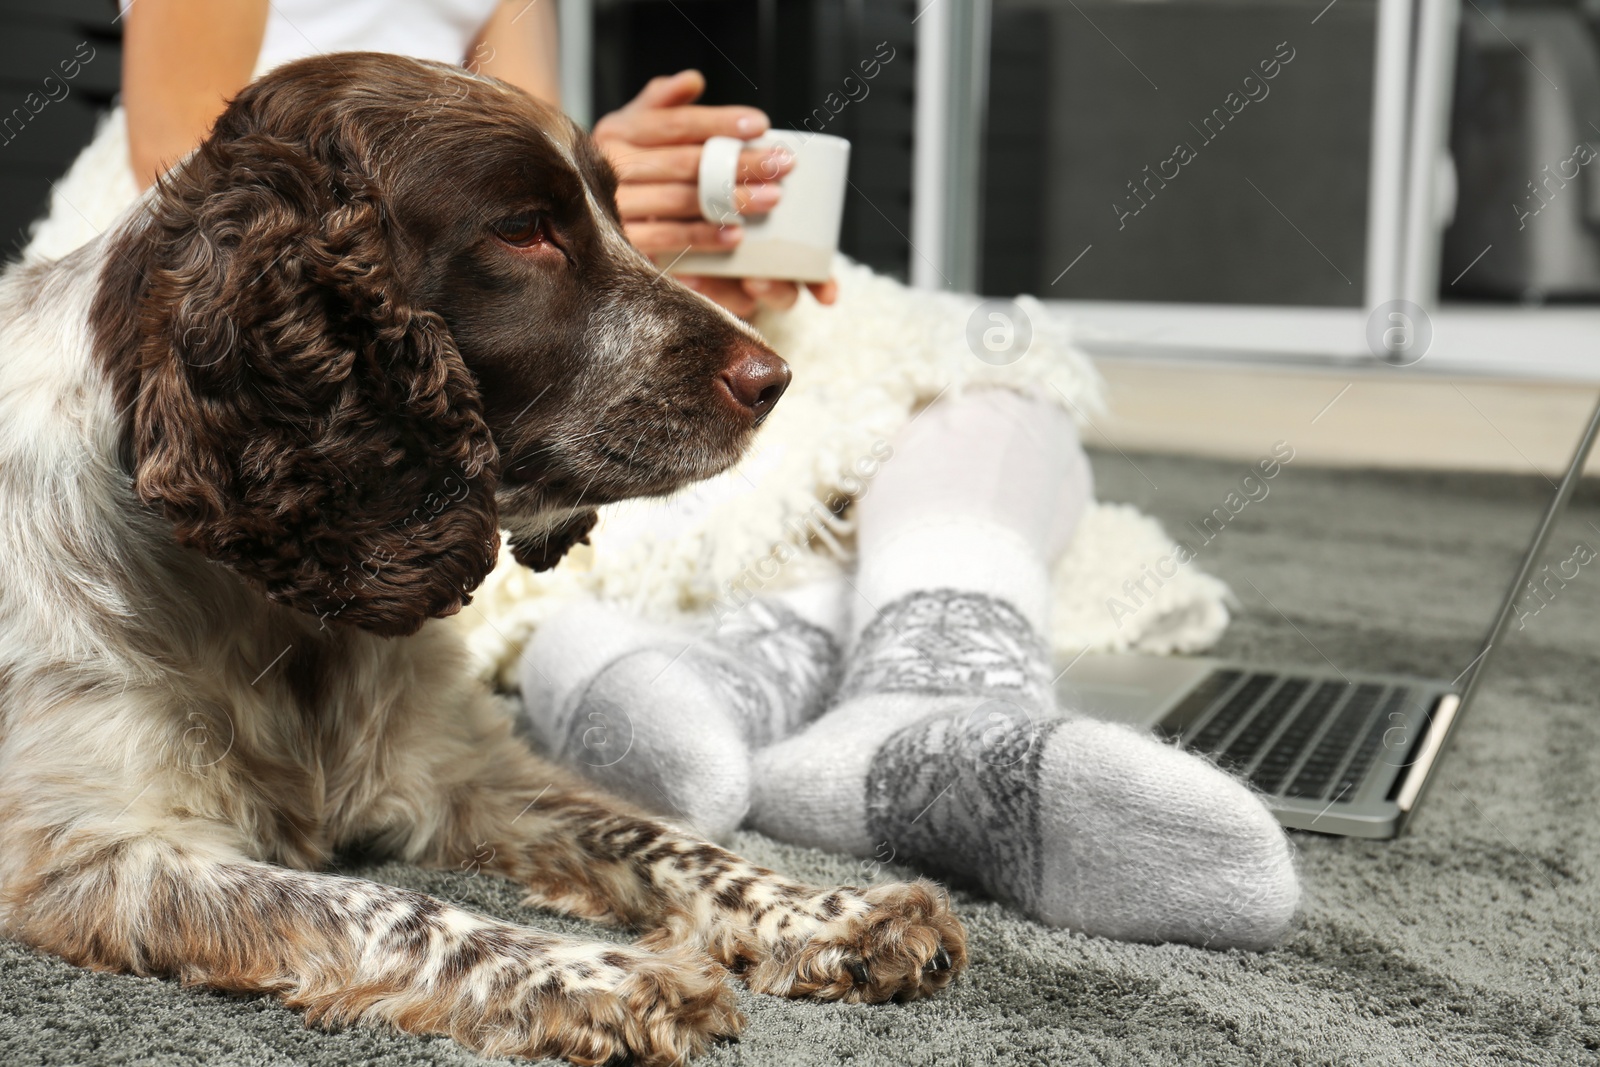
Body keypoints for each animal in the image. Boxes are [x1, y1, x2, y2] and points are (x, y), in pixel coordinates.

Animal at [0, 54, 960, 1062]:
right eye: (524, 231)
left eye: (616, 214)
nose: (772, 380)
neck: (285, 611)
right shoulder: (100, 851)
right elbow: (389, 907)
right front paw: (603, 975)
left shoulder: (471, 769)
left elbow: (658, 837)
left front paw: (832, 910)